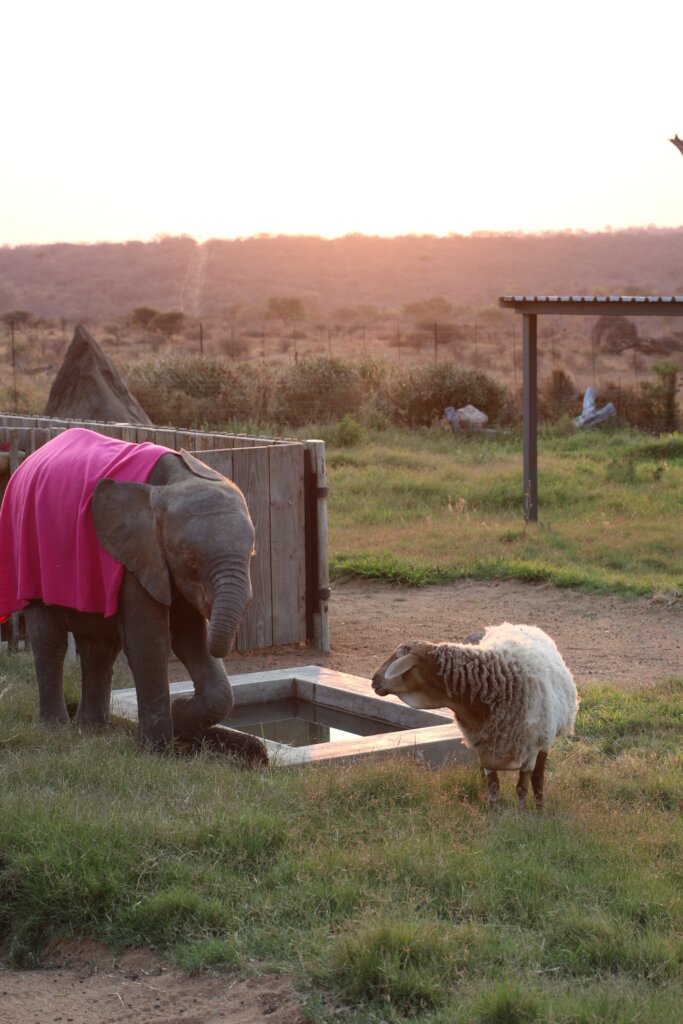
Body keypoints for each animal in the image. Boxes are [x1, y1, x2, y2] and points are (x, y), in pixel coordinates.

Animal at [0, 428, 266, 759]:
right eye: (190, 559)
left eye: (252, 554)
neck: (175, 481)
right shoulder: (137, 554)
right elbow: (149, 641)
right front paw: (157, 750)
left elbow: (190, 638)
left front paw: (179, 716)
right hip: (30, 558)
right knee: (50, 640)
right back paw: (56, 730)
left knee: (99, 648)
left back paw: (94, 731)